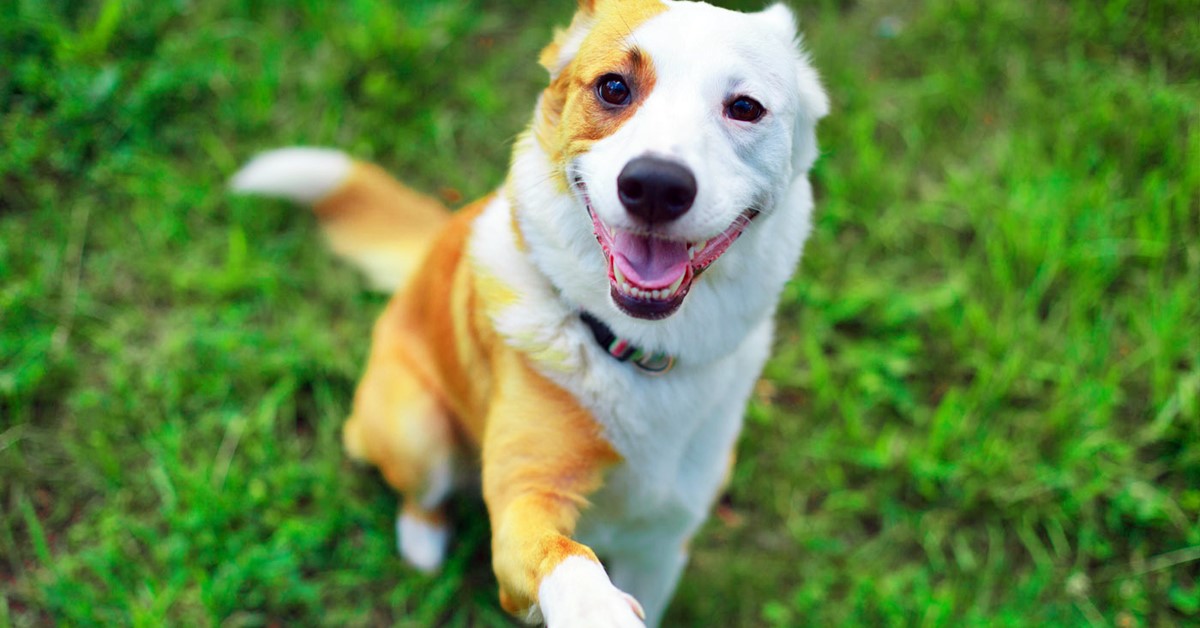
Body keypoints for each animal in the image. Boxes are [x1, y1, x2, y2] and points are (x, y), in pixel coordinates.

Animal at [232, 2, 825, 624]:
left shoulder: (664, 541)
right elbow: (564, 555)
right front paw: (597, 609)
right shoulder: (526, 499)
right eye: (614, 87)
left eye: (745, 108)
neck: (638, 351)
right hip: (414, 425)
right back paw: (423, 542)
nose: (656, 186)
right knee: (413, 487)